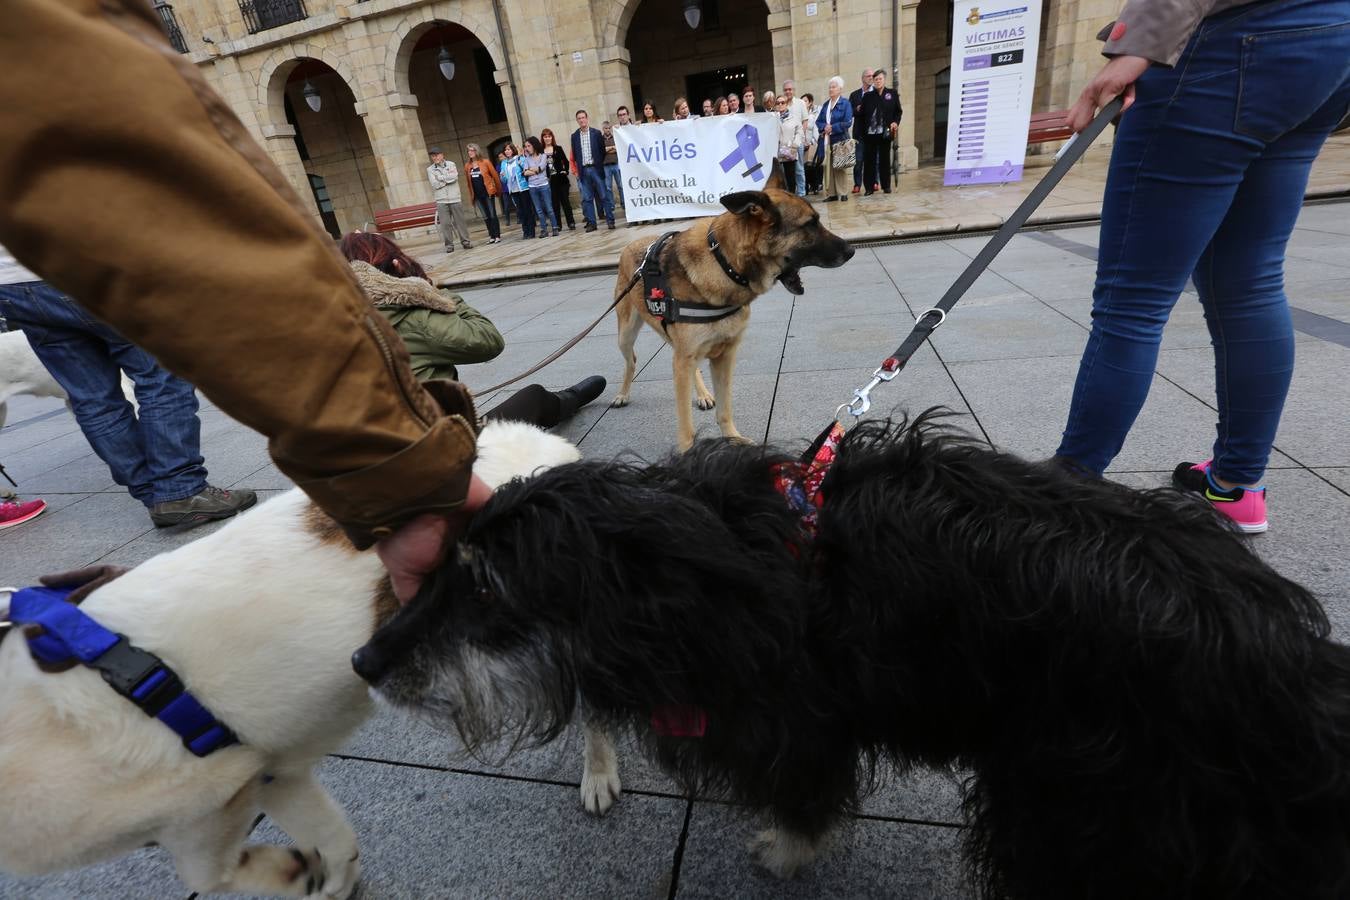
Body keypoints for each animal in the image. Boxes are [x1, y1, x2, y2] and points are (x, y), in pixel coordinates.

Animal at [0, 423, 618, 900]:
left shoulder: (212, 798)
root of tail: (539, 439)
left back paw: (599, 775)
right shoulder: (274, 771)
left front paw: (292, 873)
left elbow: (205, 870)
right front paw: (325, 880)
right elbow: (331, 839)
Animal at [353, 412, 1350, 895]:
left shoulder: (798, 715)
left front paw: (786, 851)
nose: (364, 665)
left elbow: (806, 794)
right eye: (441, 567)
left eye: (489, 590)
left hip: (1074, 799)